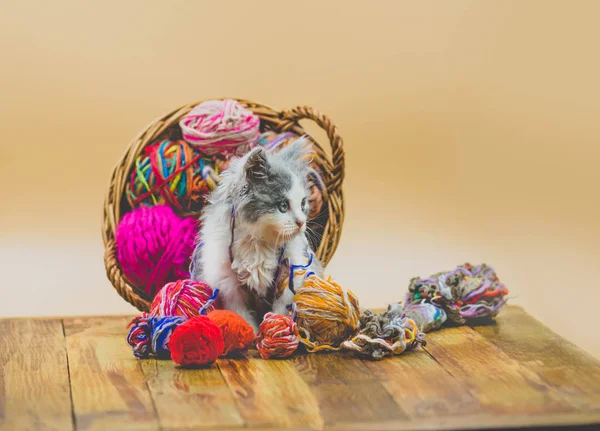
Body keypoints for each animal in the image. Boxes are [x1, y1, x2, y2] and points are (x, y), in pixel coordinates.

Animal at [192, 138, 324, 330]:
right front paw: (252, 333)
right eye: (283, 205)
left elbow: (281, 310)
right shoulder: (228, 285)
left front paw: (276, 327)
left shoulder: (292, 274)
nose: (301, 222)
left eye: (303, 203)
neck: (259, 242)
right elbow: (241, 316)